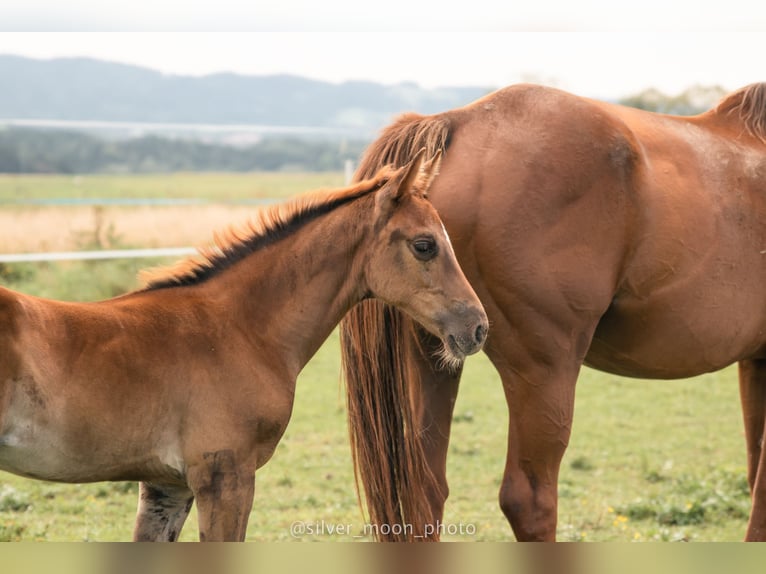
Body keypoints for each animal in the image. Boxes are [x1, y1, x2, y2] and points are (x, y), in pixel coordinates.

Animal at [344, 83, 766, 544]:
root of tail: (455, 120)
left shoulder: (755, 363)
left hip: (432, 361)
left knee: (424, 492)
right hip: (545, 374)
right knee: (529, 501)